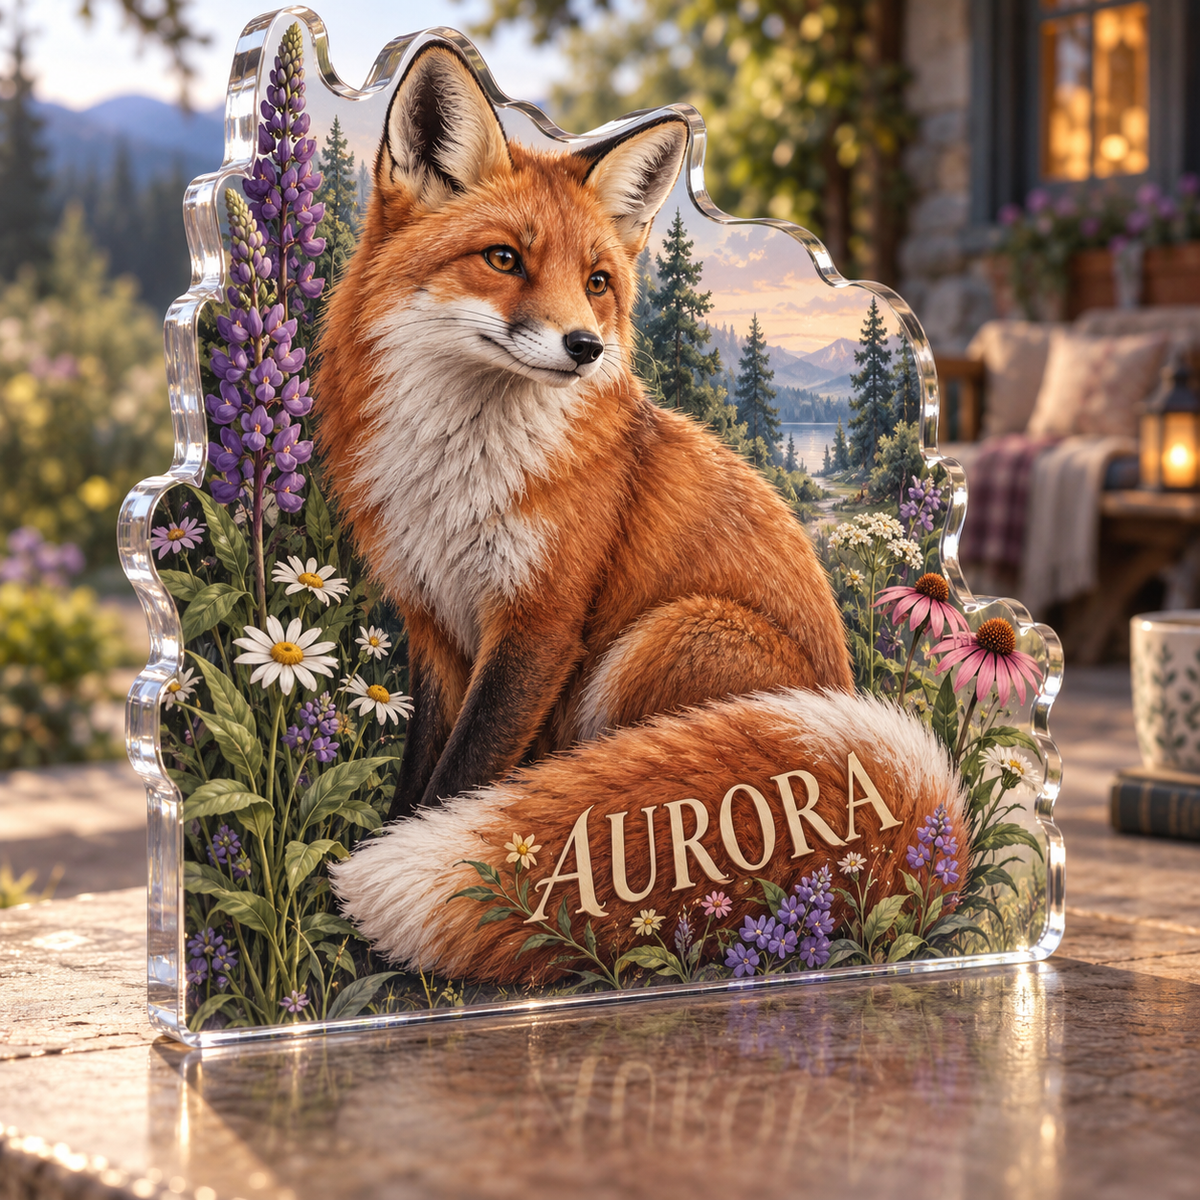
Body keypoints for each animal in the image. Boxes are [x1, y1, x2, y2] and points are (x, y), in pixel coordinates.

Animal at [318, 43, 967, 984]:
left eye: (597, 283)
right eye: (503, 259)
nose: (585, 347)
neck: (460, 475)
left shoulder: (540, 626)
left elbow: (461, 781)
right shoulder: (433, 623)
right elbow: (418, 782)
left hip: (659, 640)